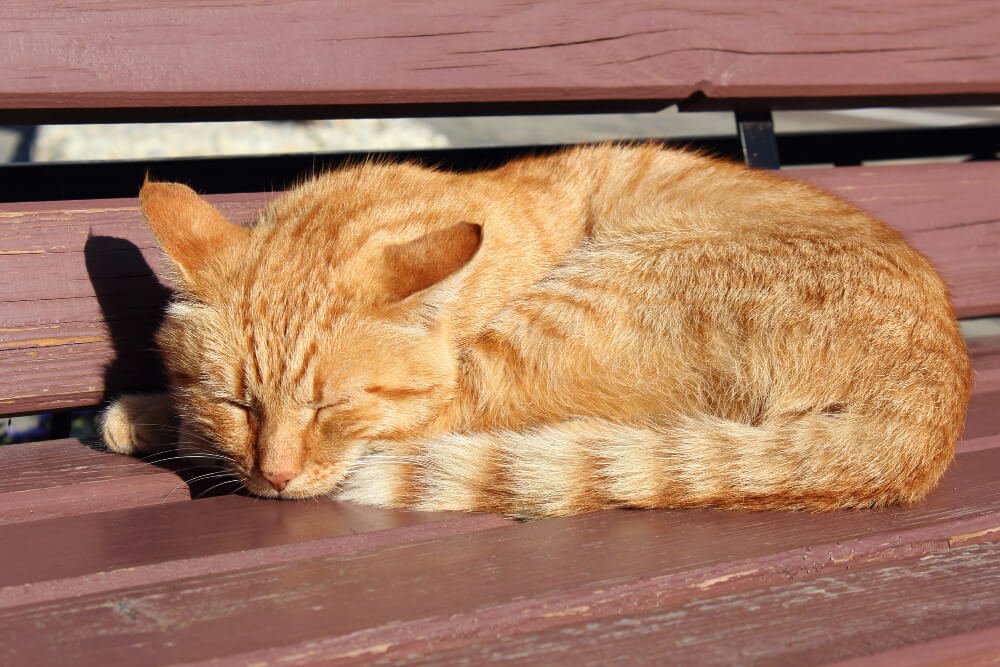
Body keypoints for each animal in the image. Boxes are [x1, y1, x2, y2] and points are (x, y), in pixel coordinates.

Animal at [101, 145, 968, 516]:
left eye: (331, 406)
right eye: (236, 402)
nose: (273, 477)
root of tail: (935, 408)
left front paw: (148, 417)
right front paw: (152, 413)